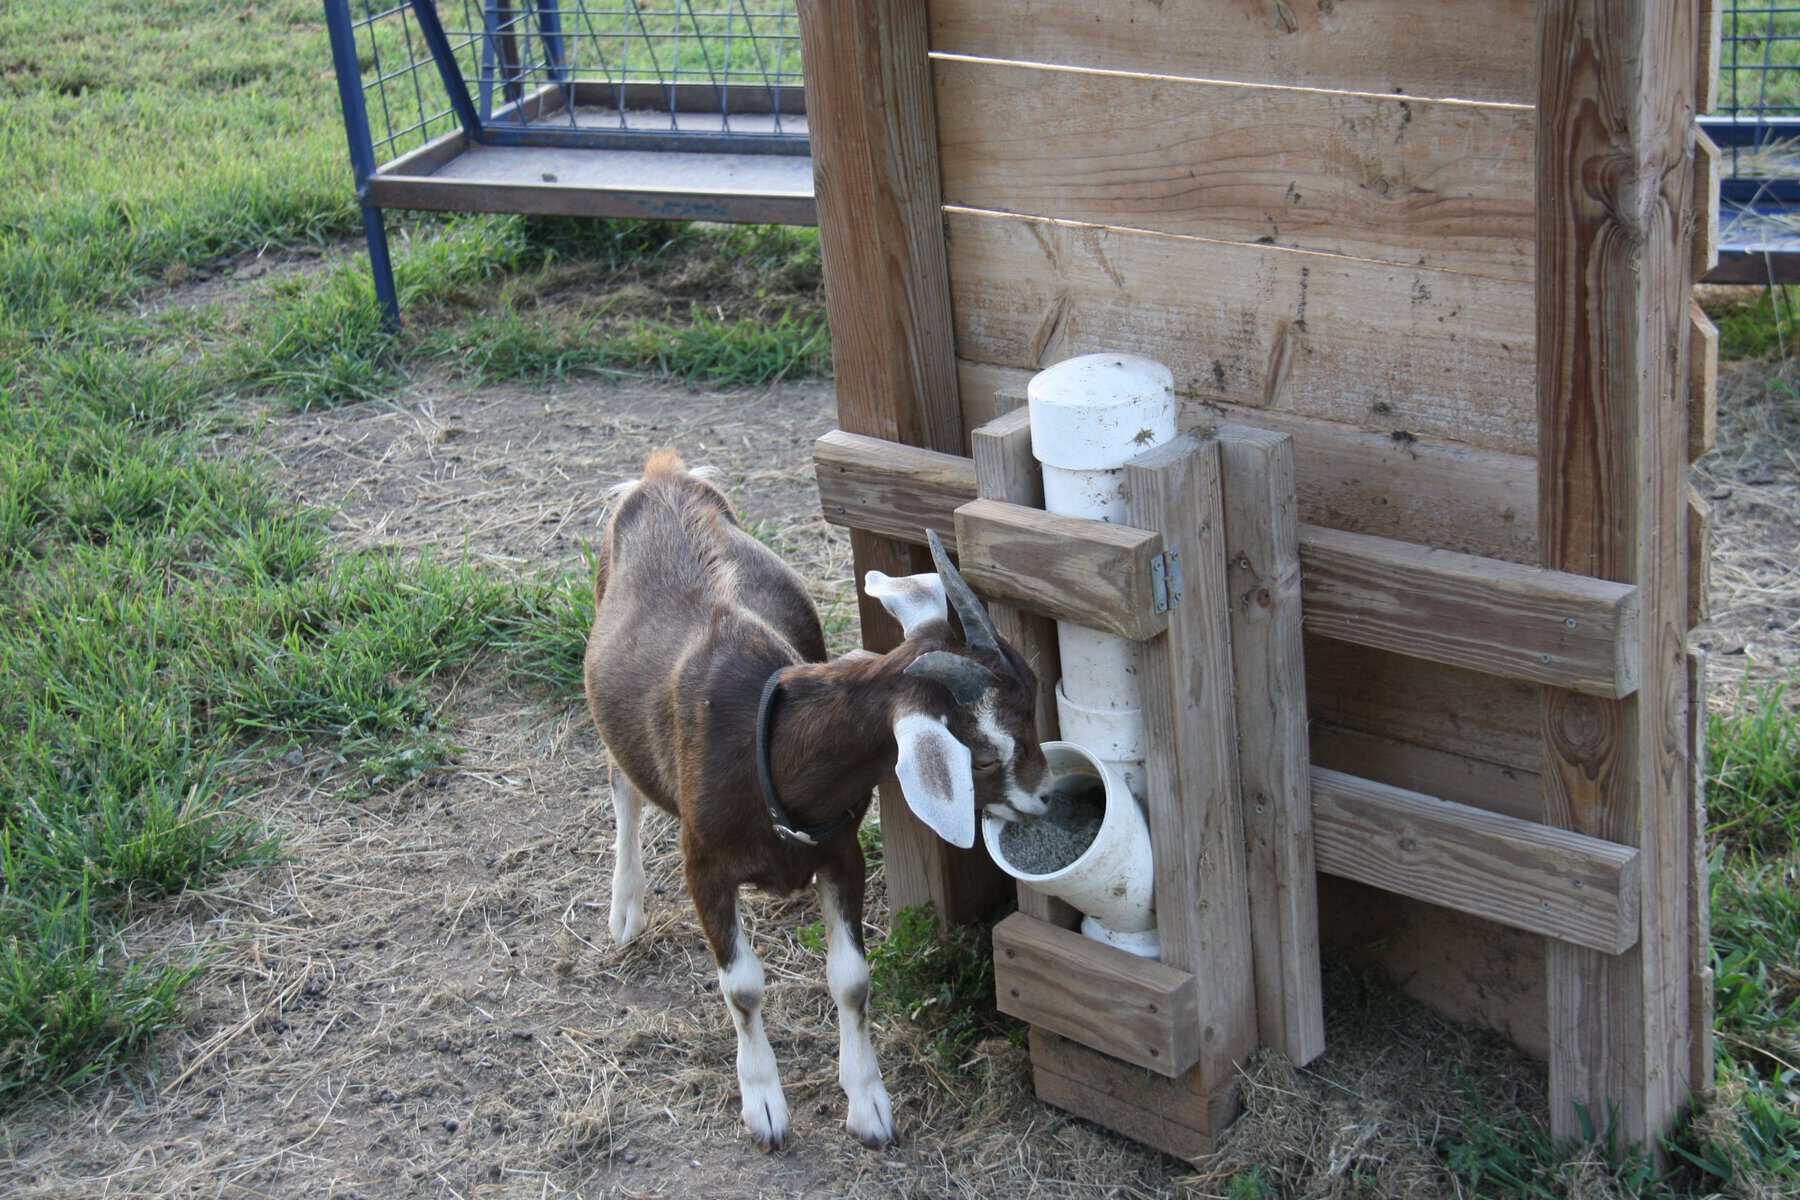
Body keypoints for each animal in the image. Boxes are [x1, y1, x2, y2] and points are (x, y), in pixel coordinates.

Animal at [584, 451, 1049, 1150]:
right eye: (987, 752)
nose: (1049, 795)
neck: (771, 753)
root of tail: (664, 475)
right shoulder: (704, 868)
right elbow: (742, 987)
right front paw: (765, 1106)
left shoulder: (841, 854)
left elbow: (852, 980)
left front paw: (869, 1105)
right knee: (622, 783)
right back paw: (625, 910)